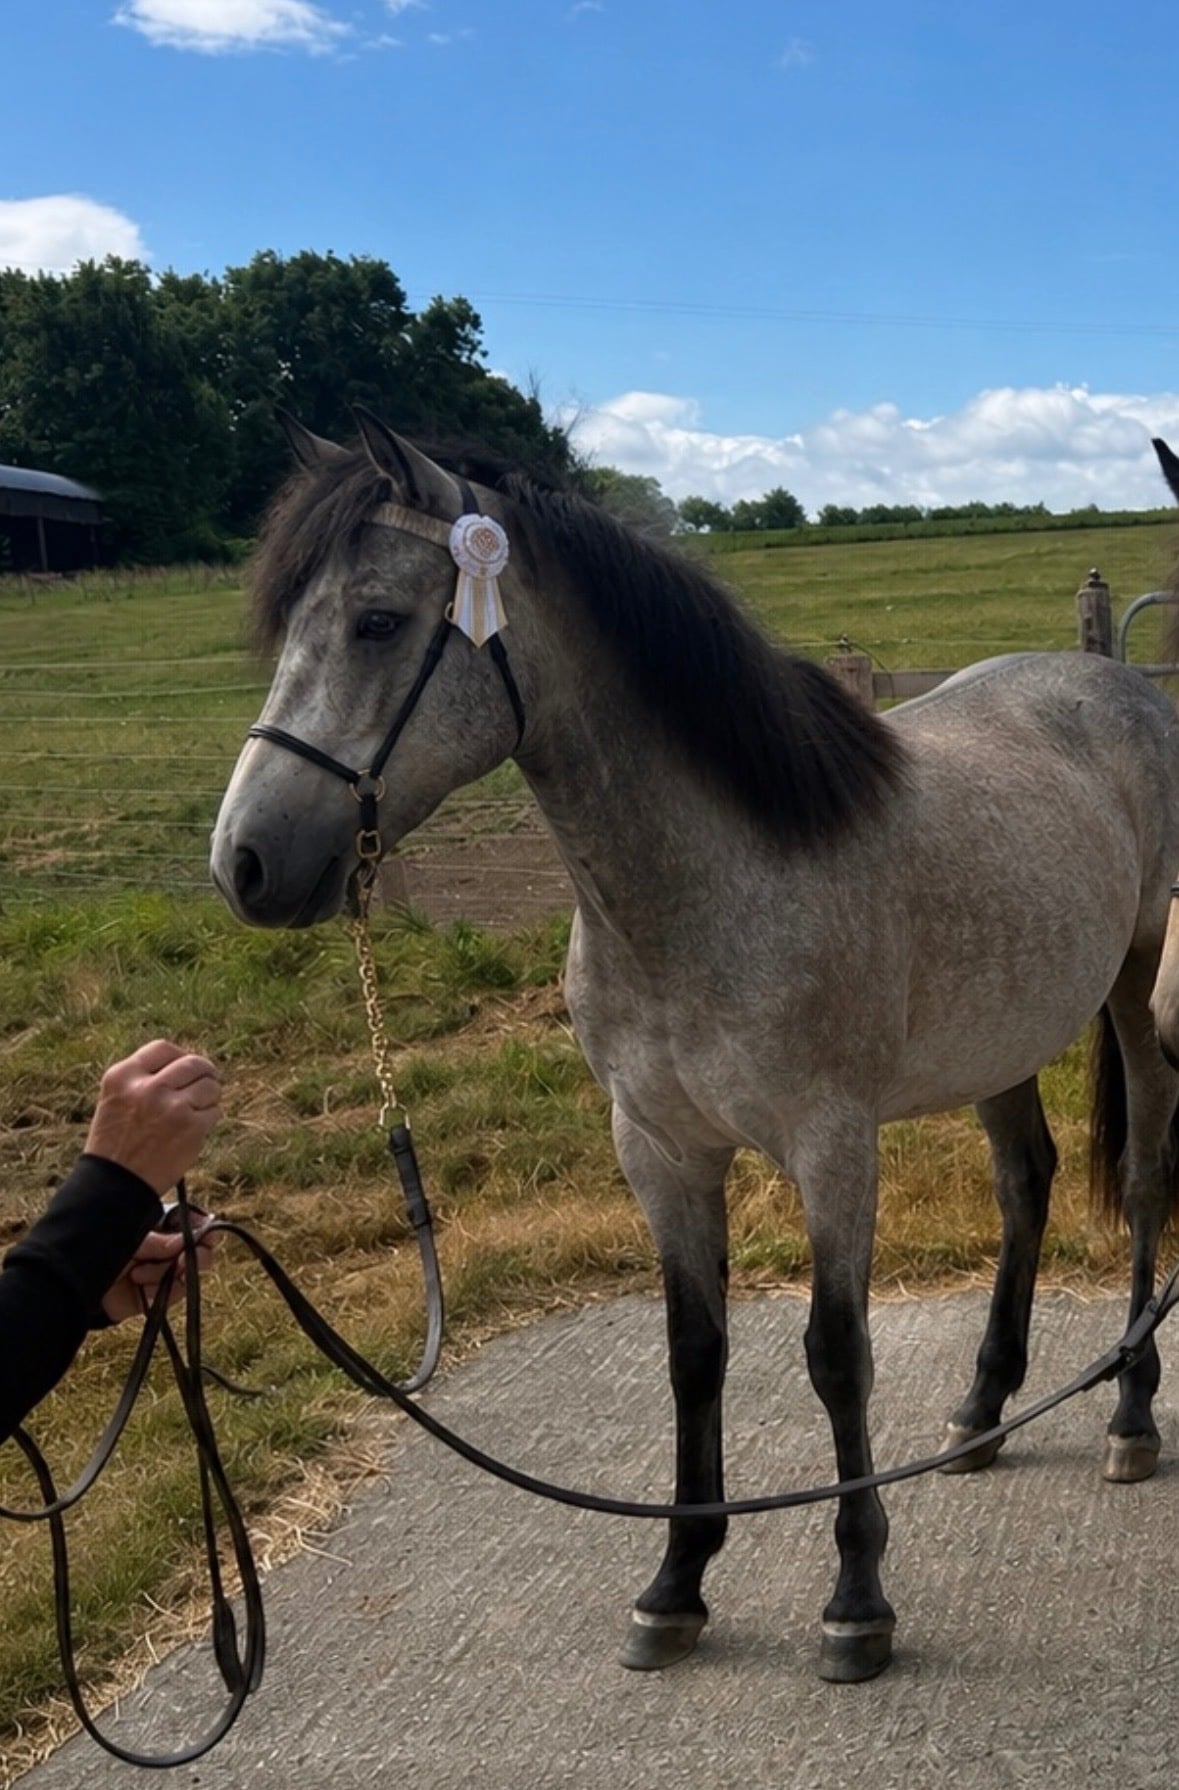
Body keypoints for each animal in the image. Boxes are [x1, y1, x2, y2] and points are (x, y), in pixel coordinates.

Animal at [210, 412, 1179, 1685]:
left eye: (375, 619)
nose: (245, 862)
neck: (709, 884)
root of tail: (1124, 686)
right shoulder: (660, 1149)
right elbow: (694, 1351)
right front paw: (676, 1580)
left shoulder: (832, 1145)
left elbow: (836, 1352)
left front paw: (857, 1599)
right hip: (999, 1038)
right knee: (1027, 1184)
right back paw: (980, 1413)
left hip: (1134, 990)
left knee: (1146, 1175)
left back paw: (1130, 1411)